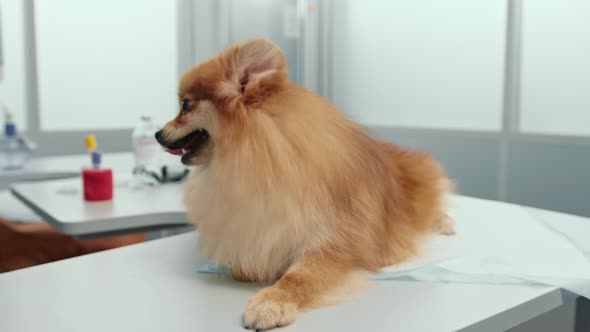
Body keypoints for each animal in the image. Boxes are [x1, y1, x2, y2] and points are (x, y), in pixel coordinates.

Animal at [155, 39, 456, 330]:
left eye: (185, 105)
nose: (157, 133)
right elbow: (247, 260)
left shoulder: (336, 247)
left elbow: (299, 278)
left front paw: (272, 302)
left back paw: (445, 224)